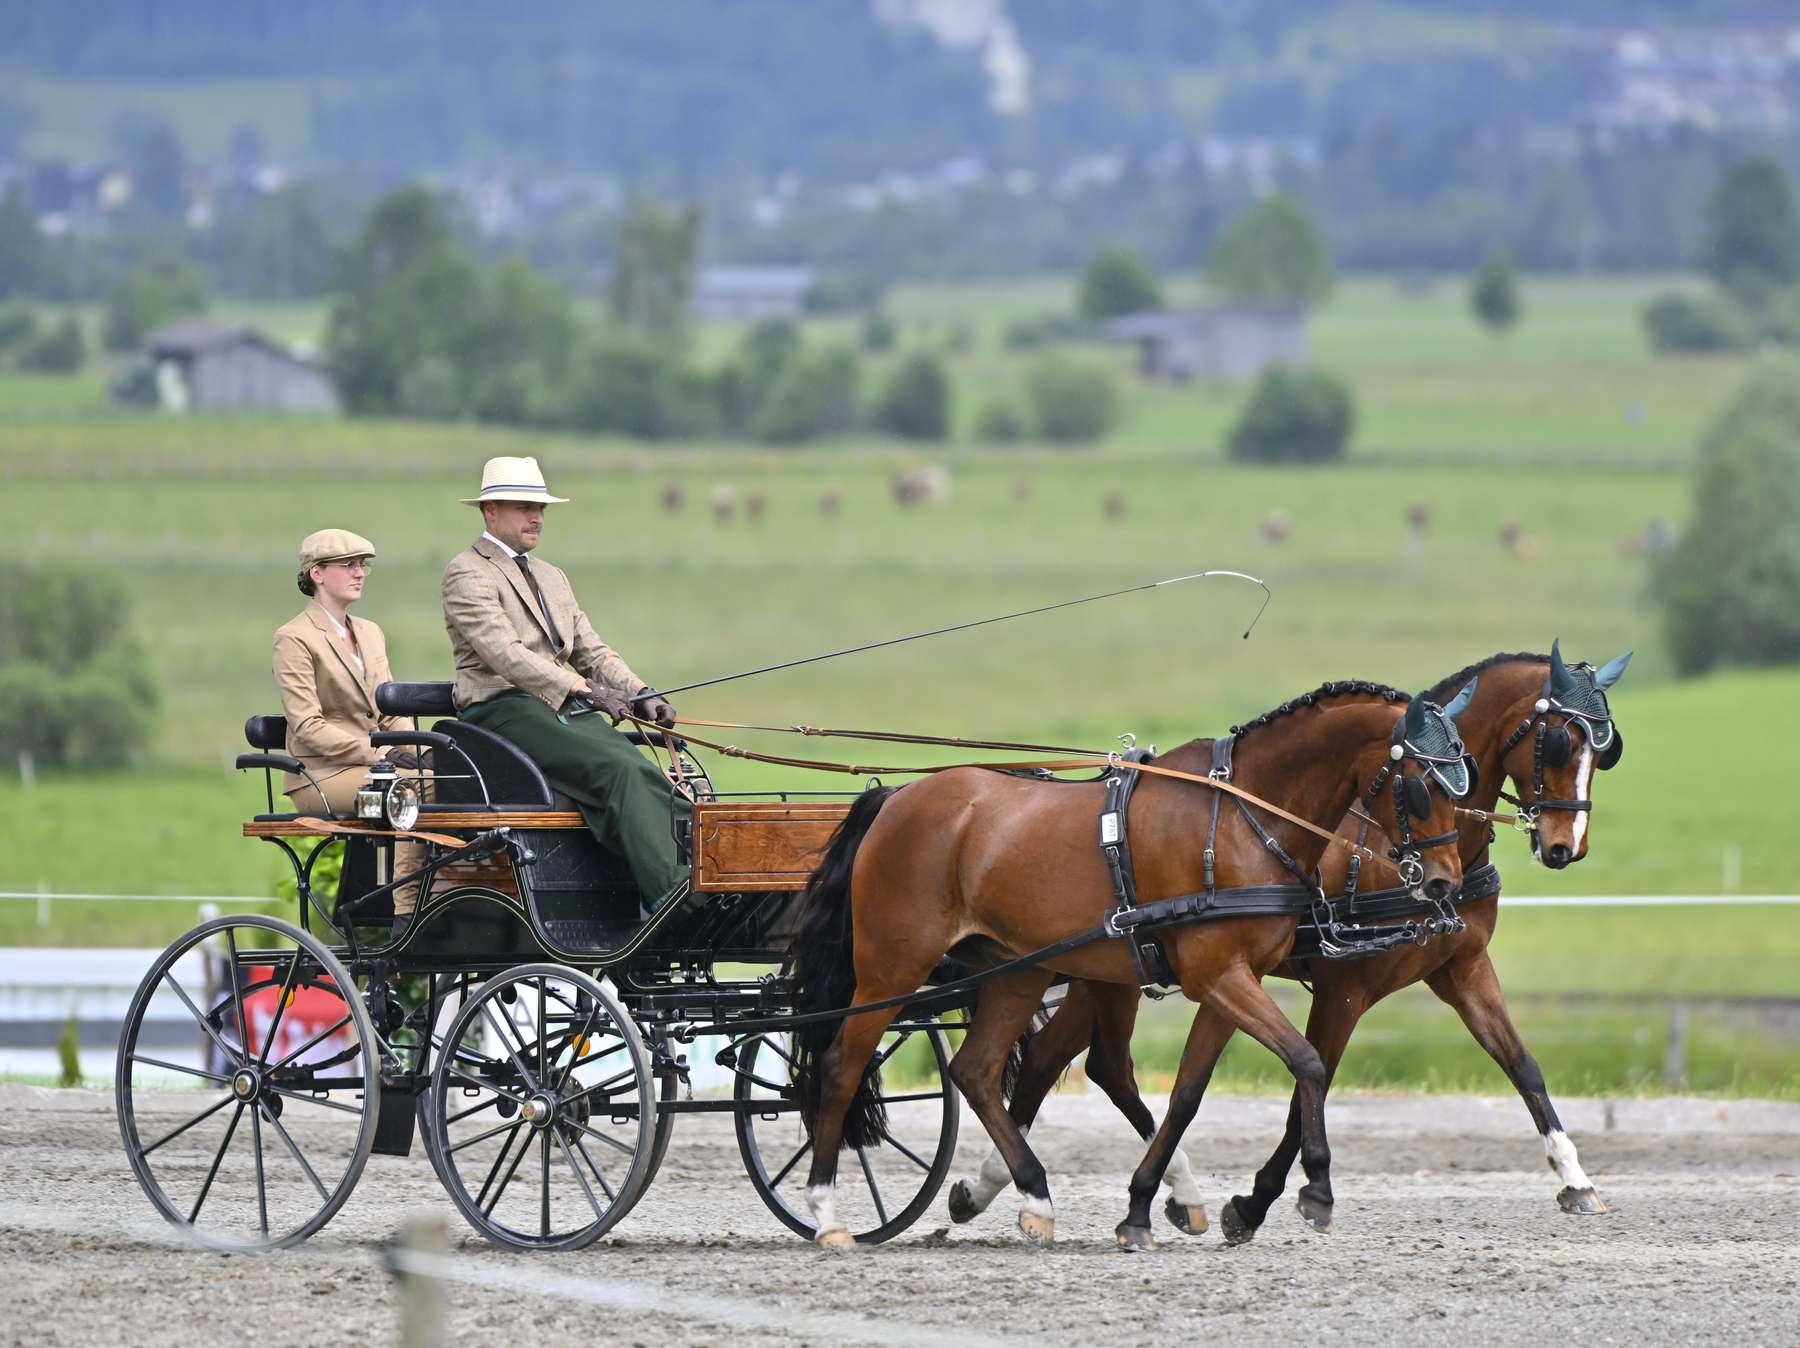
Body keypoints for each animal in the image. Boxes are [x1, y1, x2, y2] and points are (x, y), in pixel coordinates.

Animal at [788, 676, 1476, 1245]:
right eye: (1420, 786)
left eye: (1462, 779)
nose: (1444, 882)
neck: (1241, 817)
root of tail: (898, 796)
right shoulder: (1218, 975)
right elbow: (1305, 1061)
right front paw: (1317, 1189)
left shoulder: (1230, 980)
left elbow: (1188, 1093)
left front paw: (1143, 1206)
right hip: (892, 967)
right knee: (842, 1066)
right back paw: (827, 1213)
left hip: (1018, 969)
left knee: (977, 1071)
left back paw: (1035, 1197)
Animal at [957, 640, 1634, 1238]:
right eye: (1558, 740)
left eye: (1605, 750)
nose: (1564, 847)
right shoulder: (1344, 987)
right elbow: (1315, 1078)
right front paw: (1262, 1201)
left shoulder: (1461, 966)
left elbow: (1522, 1064)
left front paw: (1575, 1177)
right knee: (1070, 1064)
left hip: (1103, 970)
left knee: (1057, 1063)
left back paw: (997, 1187)